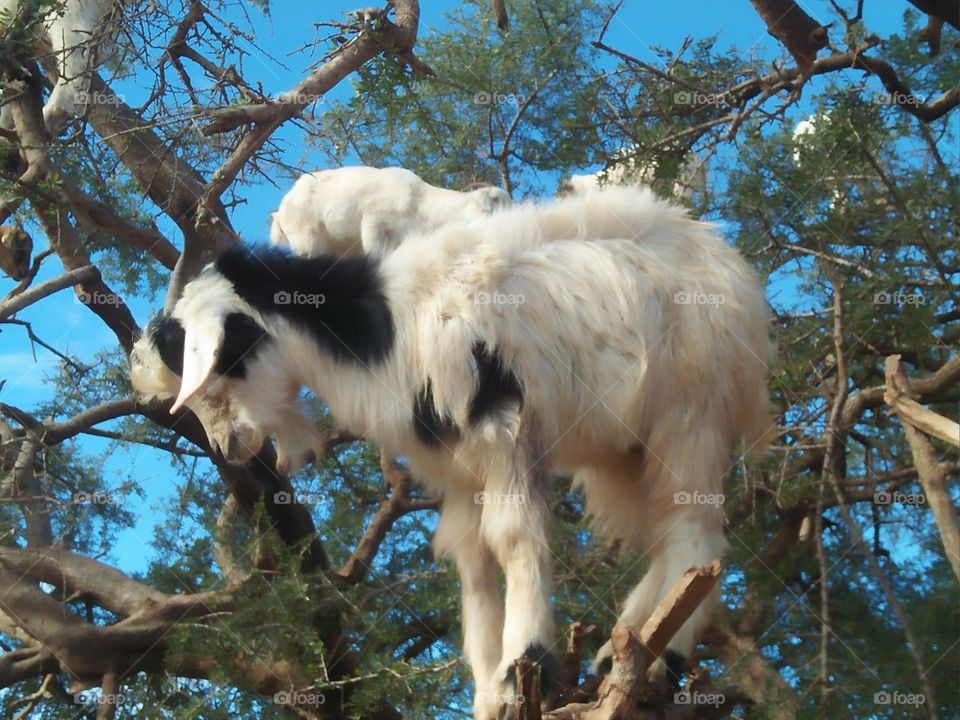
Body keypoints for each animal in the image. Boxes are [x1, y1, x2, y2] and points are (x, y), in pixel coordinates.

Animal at [131, 186, 773, 719]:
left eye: (221, 364)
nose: (228, 447)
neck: (387, 331)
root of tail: (730, 269)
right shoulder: (459, 472)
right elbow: (472, 561)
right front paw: (489, 691)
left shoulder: (504, 430)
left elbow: (514, 539)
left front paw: (524, 667)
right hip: (624, 448)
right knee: (666, 540)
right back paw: (621, 651)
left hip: (691, 415)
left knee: (695, 534)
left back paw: (655, 661)